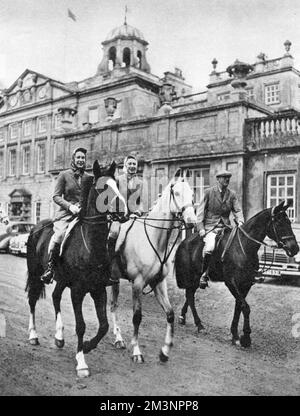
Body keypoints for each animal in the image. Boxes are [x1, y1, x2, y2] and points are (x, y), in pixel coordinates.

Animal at [175, 202, 298, 348]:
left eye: (289, 222)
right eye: (279, 223)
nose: (295, 248)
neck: (243, 246)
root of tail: (184, 241)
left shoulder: (246, 283)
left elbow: (239, 306)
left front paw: (235, 335)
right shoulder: (232, 283)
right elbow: (245, 307)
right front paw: (246, 337)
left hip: (194, 279)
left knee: (189, 295)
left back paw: (183, 317)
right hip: (192, 277)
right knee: (190, 297)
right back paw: (199, 325)